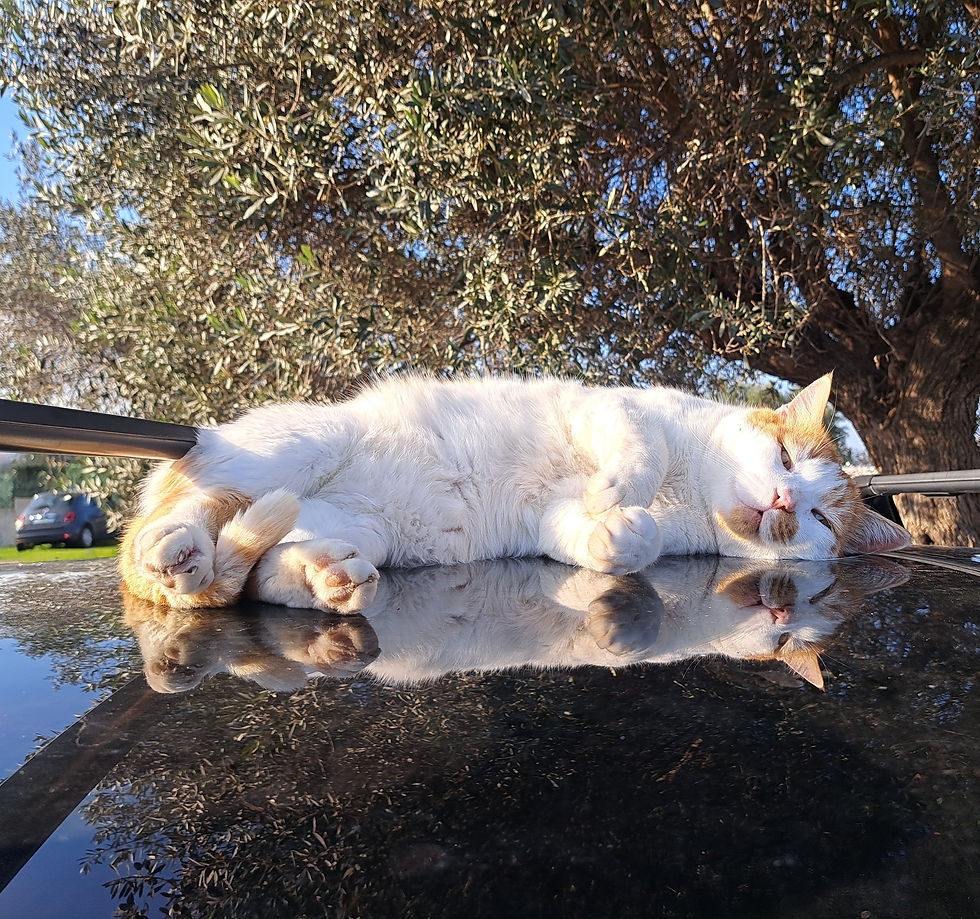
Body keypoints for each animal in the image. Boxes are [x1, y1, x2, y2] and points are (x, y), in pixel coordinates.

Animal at [119, 372, 911, 612]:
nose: (783, 506)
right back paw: (176, 549)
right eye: (783, 455)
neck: (690, 492)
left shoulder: (548, 517)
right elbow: (642, 450)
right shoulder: (610, 406)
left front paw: (617, 530)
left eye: (819, 518)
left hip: (357, 530)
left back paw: (325, 577)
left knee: (265, 573)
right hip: (298, 447)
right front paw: (616, 490)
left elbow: (605, 538)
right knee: (171, 523)